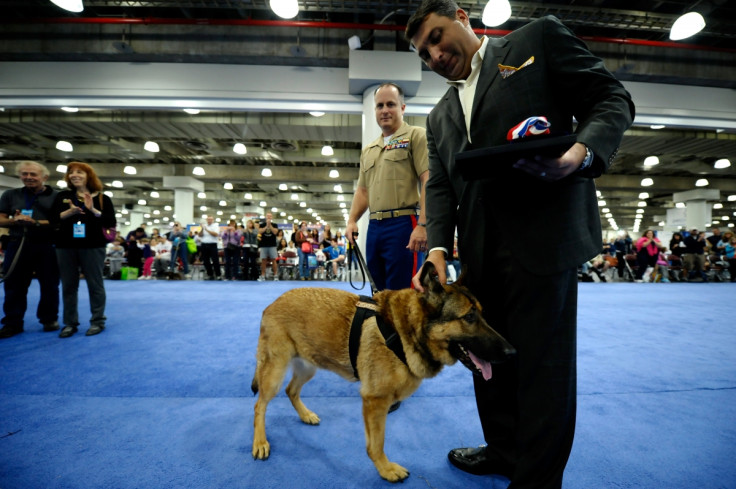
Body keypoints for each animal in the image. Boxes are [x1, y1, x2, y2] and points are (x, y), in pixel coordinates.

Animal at [250, 262, 516, 482]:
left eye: (482, 314)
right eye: (469, 317)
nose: (512, 352)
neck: (406, 330)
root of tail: (273, 303)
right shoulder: (375, 402)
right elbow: (376, 444)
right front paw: (386, 470)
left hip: (307, 367)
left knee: (291, 390)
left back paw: (305, 415)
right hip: (275, 372)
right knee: (259, 405)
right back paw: (260, 441)